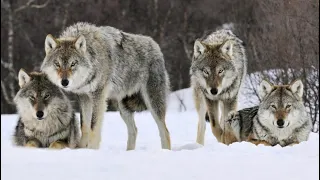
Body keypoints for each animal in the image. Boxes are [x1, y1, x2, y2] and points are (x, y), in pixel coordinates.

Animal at [41, 21, 171, 150]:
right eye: (57, 64)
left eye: (73, 64)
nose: (64, 82)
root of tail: (156, 46)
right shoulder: (84, 97)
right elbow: (84, 126)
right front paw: (81, 148)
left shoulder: (98, 96)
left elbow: (93, 126)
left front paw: (92, 149)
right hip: (123, 107)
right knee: (134, 130)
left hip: (153, 103)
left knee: (165, 131)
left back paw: (165, 151)